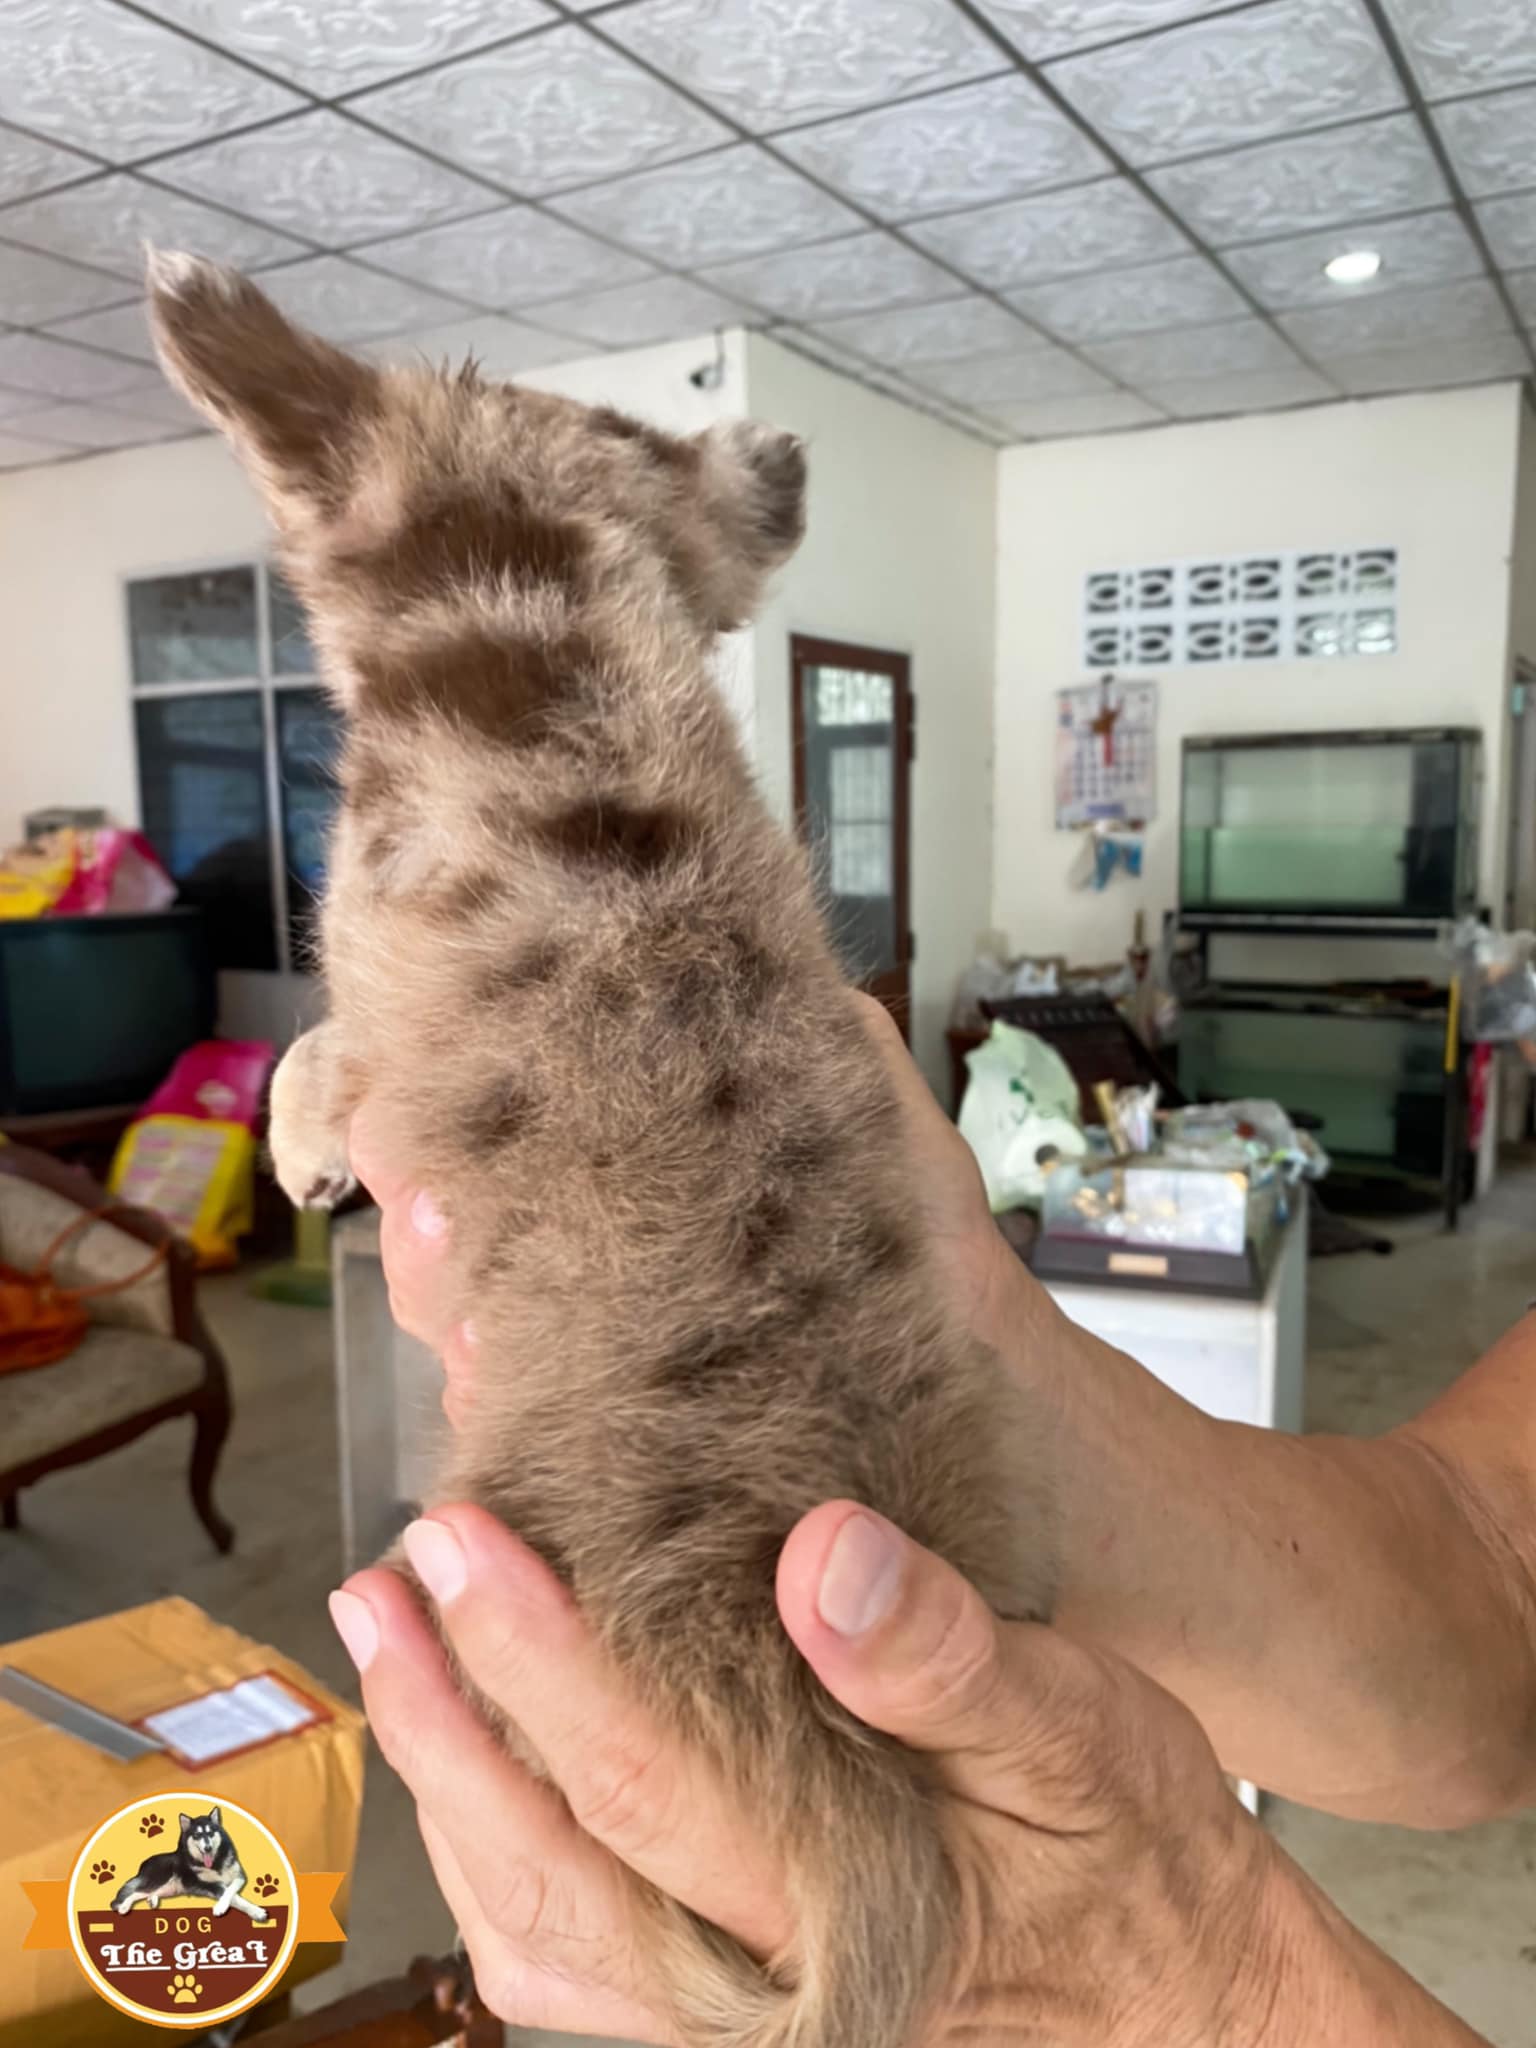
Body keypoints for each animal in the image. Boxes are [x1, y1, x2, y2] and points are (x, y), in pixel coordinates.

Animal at [110, 1807, 264, 1921]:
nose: (208, 1848)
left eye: (210, 1833)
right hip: (159, 1879)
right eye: (197, 1835)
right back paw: (124, 1906)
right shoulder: (213, 1885)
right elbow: (234, 1897)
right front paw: (253, 1911)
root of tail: (144, 1863)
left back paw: (152, 1900)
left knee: (147, 1893)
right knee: (135, 1892)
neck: (216, 1863)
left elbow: (232, 1889)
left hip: (170, 1887)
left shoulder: (240, 1876)